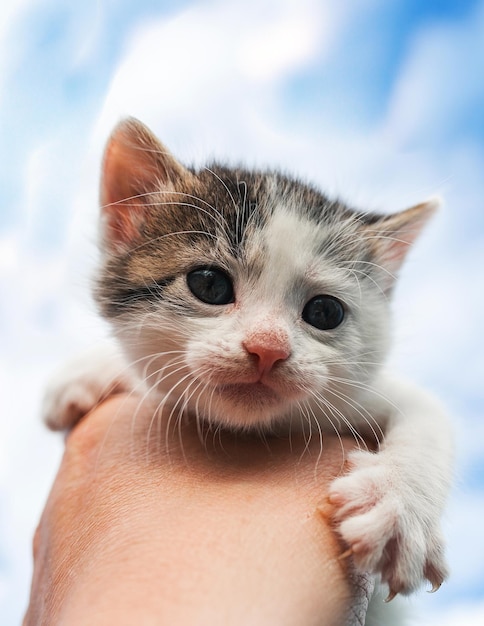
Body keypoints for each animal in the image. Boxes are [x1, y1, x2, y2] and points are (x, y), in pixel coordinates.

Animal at [42, 117, 454, 600]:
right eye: (209, 285)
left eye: (325, 312)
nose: (268, 347)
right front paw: (87, 371)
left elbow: (429, 414)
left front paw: (399, 508)